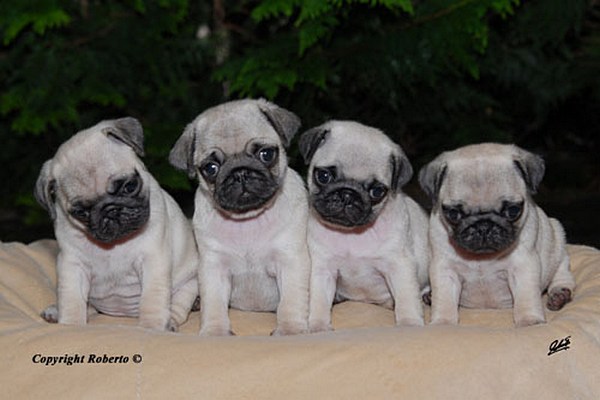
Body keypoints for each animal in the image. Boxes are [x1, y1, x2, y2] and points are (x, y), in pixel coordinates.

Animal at [35, 118, 198, 332]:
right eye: (81, 212)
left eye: (129, 186)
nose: (110, 211)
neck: (114, 246)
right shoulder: (72, 266)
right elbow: (72, 300)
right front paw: (70, 325)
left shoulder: (152, 261)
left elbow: (152, 300)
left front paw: (151, 328)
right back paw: (55, 311)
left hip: (189, 284)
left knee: (178, 306)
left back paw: (170, 322)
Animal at [168, 98, 310, 336]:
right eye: (211, 168)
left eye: (266, 154)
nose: (240, 173)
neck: (248, 221)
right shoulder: (214, 267)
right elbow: (214, 303)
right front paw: (215, 331)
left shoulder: (290, 261)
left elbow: (291, 301)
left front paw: (290, 330)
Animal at [300, 120, 432, 332]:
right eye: (324, 176)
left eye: (377, 191)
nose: (347, 194)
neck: (351, 235)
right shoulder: (323, 269)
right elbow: (319, 301)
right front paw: (318, 326)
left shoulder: (399, 266)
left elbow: (407, 299)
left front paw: (409, 323)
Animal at [420, 142, 576, 326]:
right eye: (453, 213)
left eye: (513, 210)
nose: (483, 226)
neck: (482, 259)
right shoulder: (445, 270)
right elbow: (444, 300)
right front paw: (443, 322)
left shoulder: (522, 267)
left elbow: (526, 297)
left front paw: (529, 320)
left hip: (558, 244)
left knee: (562, 275)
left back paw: (559, 294)